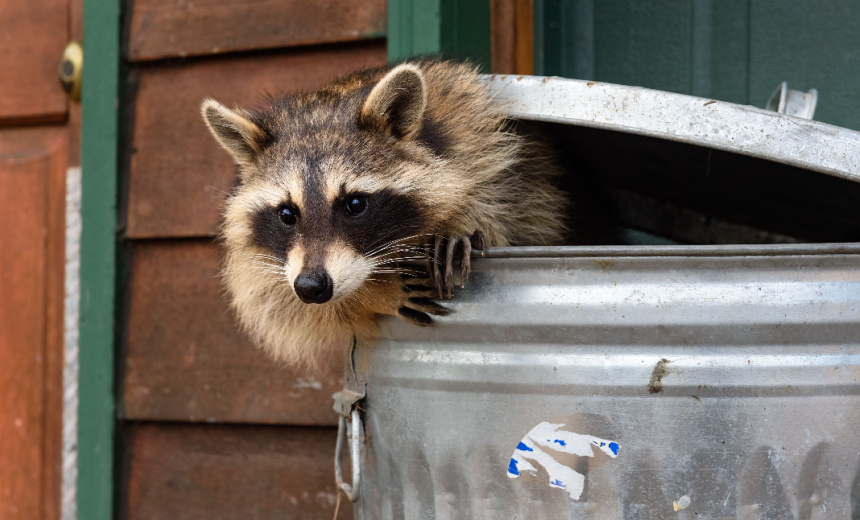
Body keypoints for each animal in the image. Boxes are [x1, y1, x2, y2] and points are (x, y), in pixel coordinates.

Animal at [203, 61, 572, 368]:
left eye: (354, 205)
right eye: (287, 213)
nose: (311, 286)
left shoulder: (484, 144)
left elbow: (511, 207)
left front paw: (461, 221)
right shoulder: (266, 263)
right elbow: (279, 302)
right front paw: (374, 295)